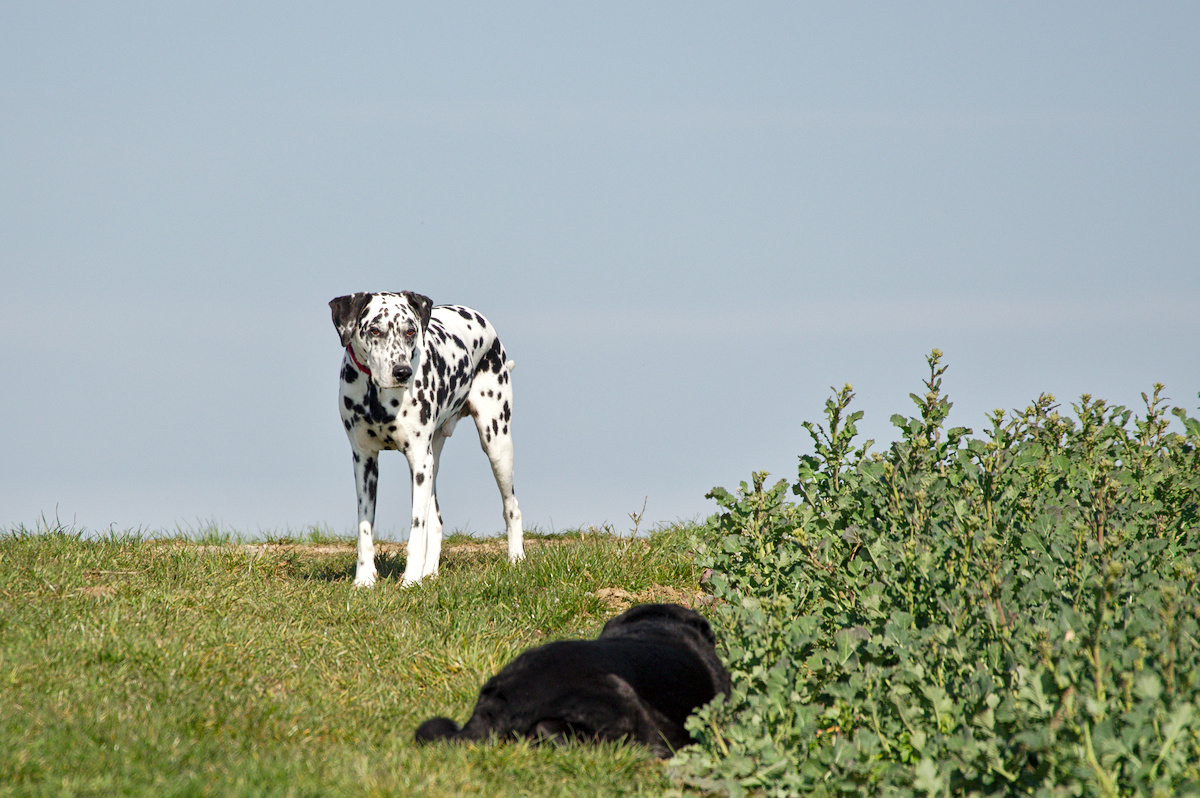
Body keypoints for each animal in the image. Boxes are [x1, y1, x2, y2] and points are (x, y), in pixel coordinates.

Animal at [328, 292, 520, 585]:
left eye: (410, 331)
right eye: (374, 330)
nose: (402, 371)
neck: (377, 395)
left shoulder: (418, 459)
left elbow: (416, 531)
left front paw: (410, 581)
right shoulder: (364, 462)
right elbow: (364, 530)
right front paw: (364, 580)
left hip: (495, 445)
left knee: (512, 507)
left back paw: (516, 559)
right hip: (432, 465)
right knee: (436, 522)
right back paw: (430, 573)